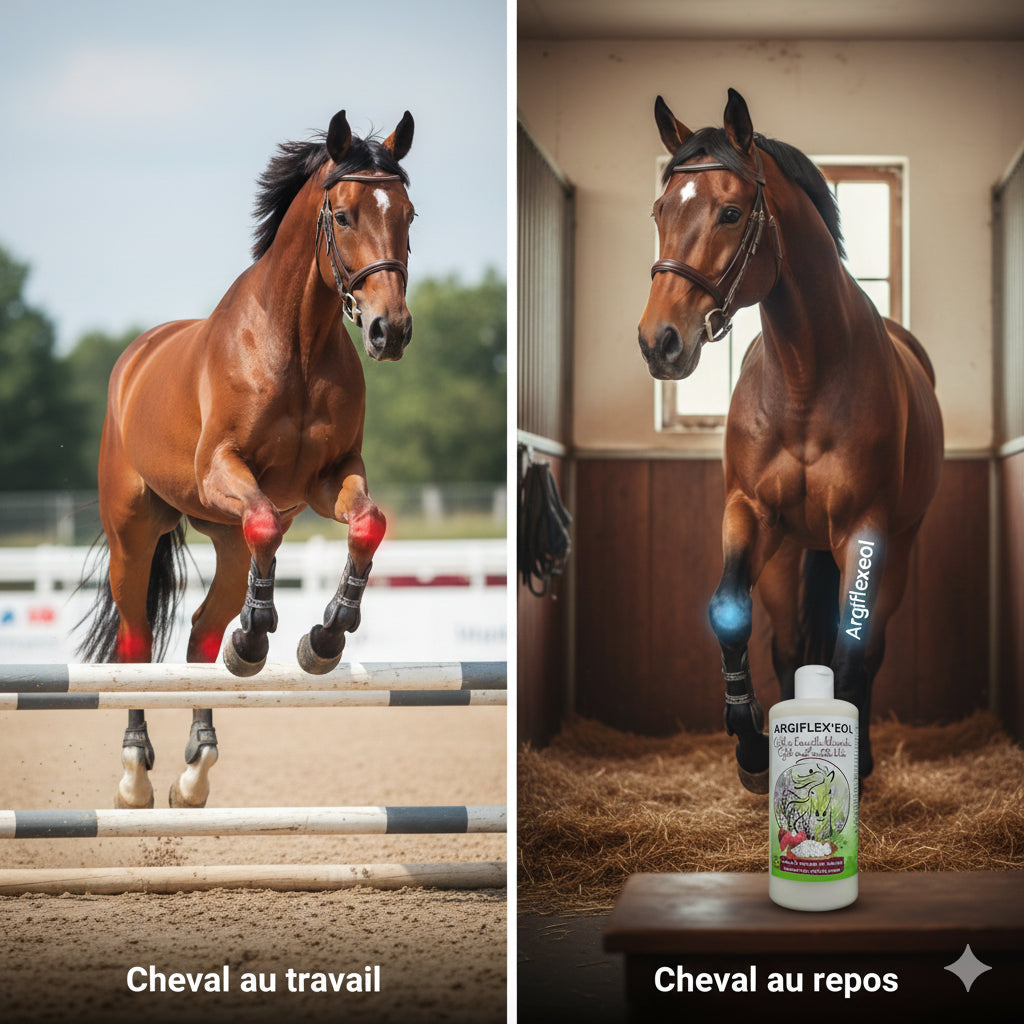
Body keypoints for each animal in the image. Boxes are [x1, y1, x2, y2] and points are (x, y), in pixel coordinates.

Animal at [77, 109, 416, 809]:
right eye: (344, 216)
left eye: (408, 213)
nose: (389, 331)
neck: (298, 342)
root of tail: (134, 359)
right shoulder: (223, 472)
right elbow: (264, 521)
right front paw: (263, 631)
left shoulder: (328, 479)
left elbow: (367, 525)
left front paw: (324, 636)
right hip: (133, 534)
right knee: (135, 642)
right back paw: (135, 774)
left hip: (225, 545)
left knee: (202, 636)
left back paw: (195, 769)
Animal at [637, 89, 943, 793]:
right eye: (660, 210)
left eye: (729, 212)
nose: (659, 342)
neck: (807, 377)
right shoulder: (749, 513)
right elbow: (730, 611)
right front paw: (751, 746)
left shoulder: (866, 531)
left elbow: (853, 649)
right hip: (786, 555)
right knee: (785, 646)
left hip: (895, 548)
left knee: (865, 645)